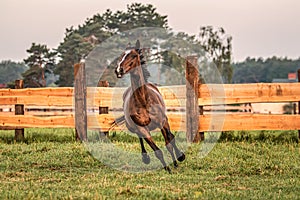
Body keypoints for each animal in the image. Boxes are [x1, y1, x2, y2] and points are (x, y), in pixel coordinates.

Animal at [113, 40, 186, 172]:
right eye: (122, 55)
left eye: (133, 55)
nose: (118, 70)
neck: (143, 101)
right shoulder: (142, 129)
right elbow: (157, 151)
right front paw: (167, 169)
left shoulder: (162, 122)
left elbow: (169, 142)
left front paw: (179, 158)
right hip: (132, 127)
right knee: (140, 138)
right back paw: (145, 157)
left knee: (170, 138)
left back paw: (177, 160)